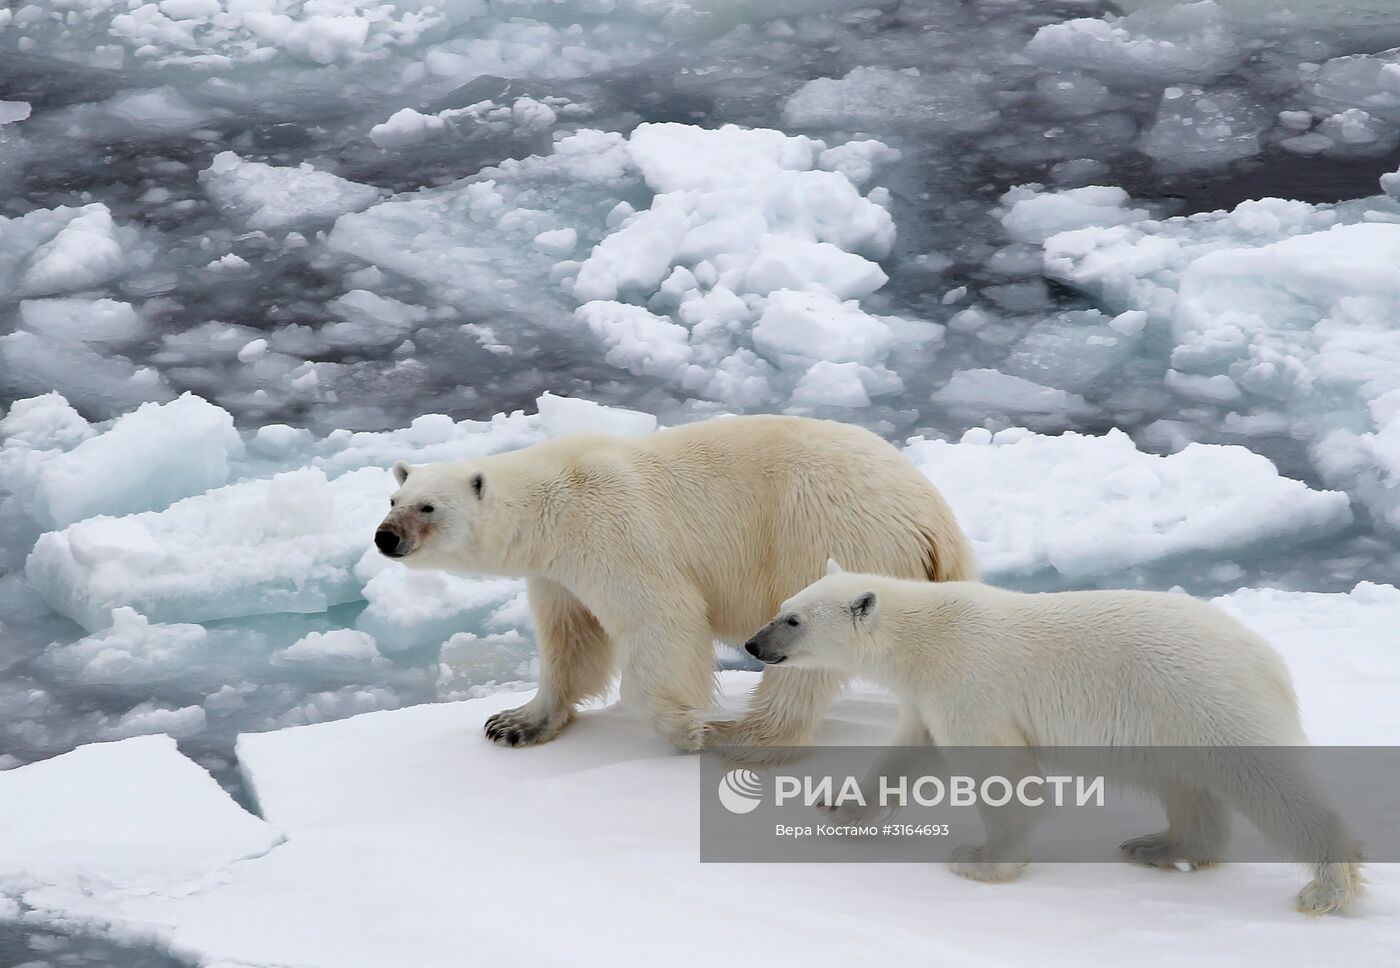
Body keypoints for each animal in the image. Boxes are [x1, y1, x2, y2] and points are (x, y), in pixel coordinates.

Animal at [378, 411, 980, 750]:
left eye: (428, 507)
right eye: (393, 498)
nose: (386, 537)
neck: (552, 502)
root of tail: (934, 519)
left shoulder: (613, 530)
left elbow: (662, 620)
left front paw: (686, 728)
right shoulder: (556, 573)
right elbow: (570, 640)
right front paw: (514, 722)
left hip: (831, 538)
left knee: (805, 653)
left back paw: (740, 735)